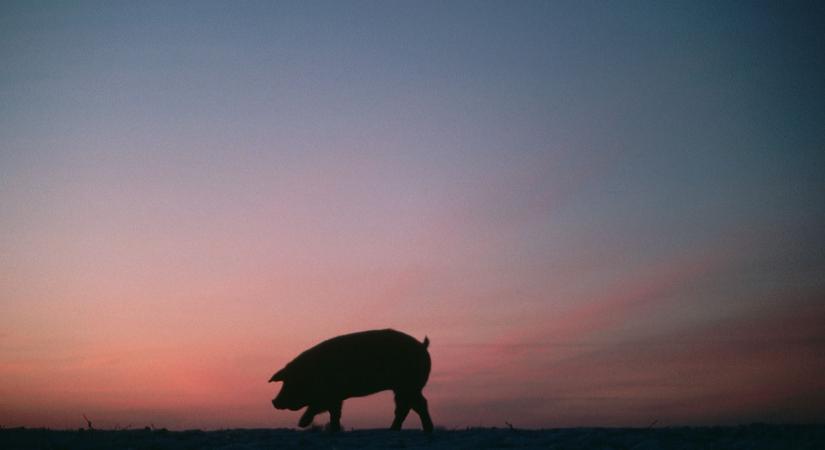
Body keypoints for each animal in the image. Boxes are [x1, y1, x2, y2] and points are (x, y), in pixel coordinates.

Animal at [272, 328, 438, 430]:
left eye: (289, 382)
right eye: (284, 382)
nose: (274, 401)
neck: (309, 374)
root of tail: (423, 346)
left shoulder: (329, 395)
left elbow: (320, 408)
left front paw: (301, 424)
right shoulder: (336, 397)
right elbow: (335, 413)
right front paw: (334, 430)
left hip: (409, 386)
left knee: (414, 405)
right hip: (404, 388)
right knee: (409, 406)